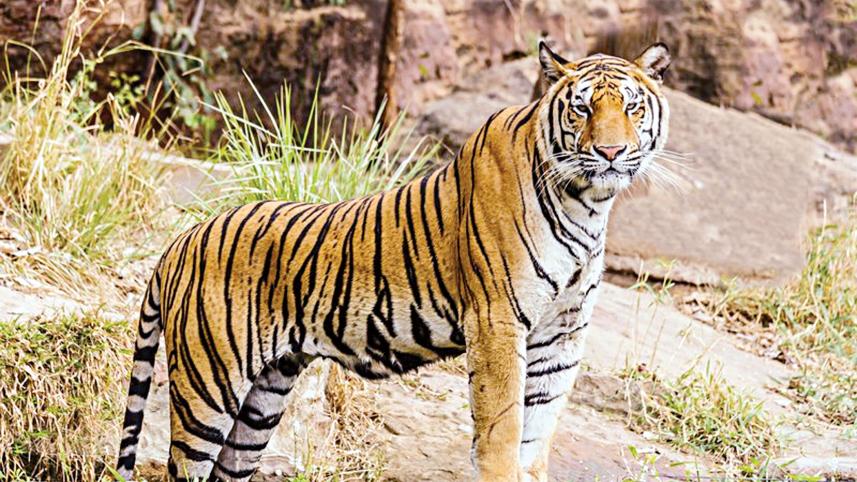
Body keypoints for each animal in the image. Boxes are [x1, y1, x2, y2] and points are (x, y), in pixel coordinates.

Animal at [115, 41, 671, 482]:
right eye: (582, 109)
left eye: (632, 107)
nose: (611, 152)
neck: (588, 203)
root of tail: (180, 240)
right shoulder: (497, 321)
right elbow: (502, 429)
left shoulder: (562, 335)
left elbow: (537, 434)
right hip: (208, 388)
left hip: (262, 400)